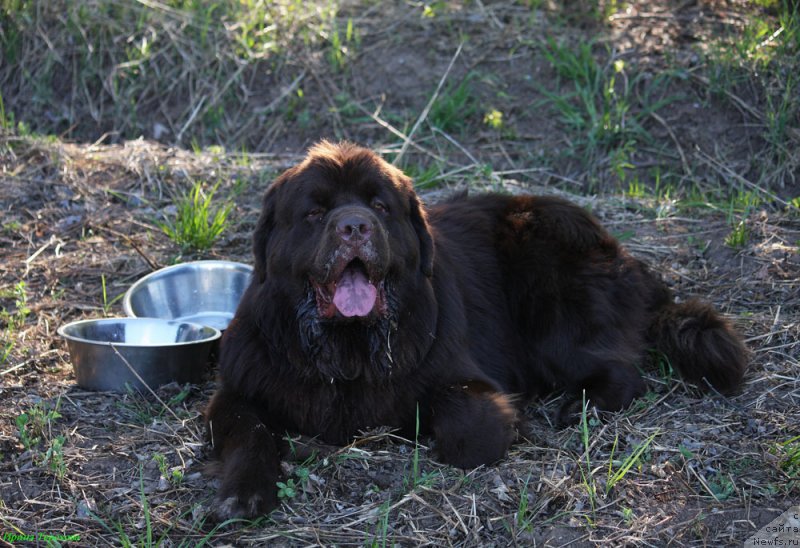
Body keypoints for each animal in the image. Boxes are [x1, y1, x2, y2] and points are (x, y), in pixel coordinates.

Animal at [203, 141, 748, 520]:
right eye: (315, 213)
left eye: (380, 207)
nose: (354, 226)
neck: (349, 349)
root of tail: (622, 252)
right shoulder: (241, 388)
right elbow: (248, 431)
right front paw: (242, 494)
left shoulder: (462, 381)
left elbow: (469, 433)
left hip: (550, 307)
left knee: (621, 369)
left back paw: (580, 406)